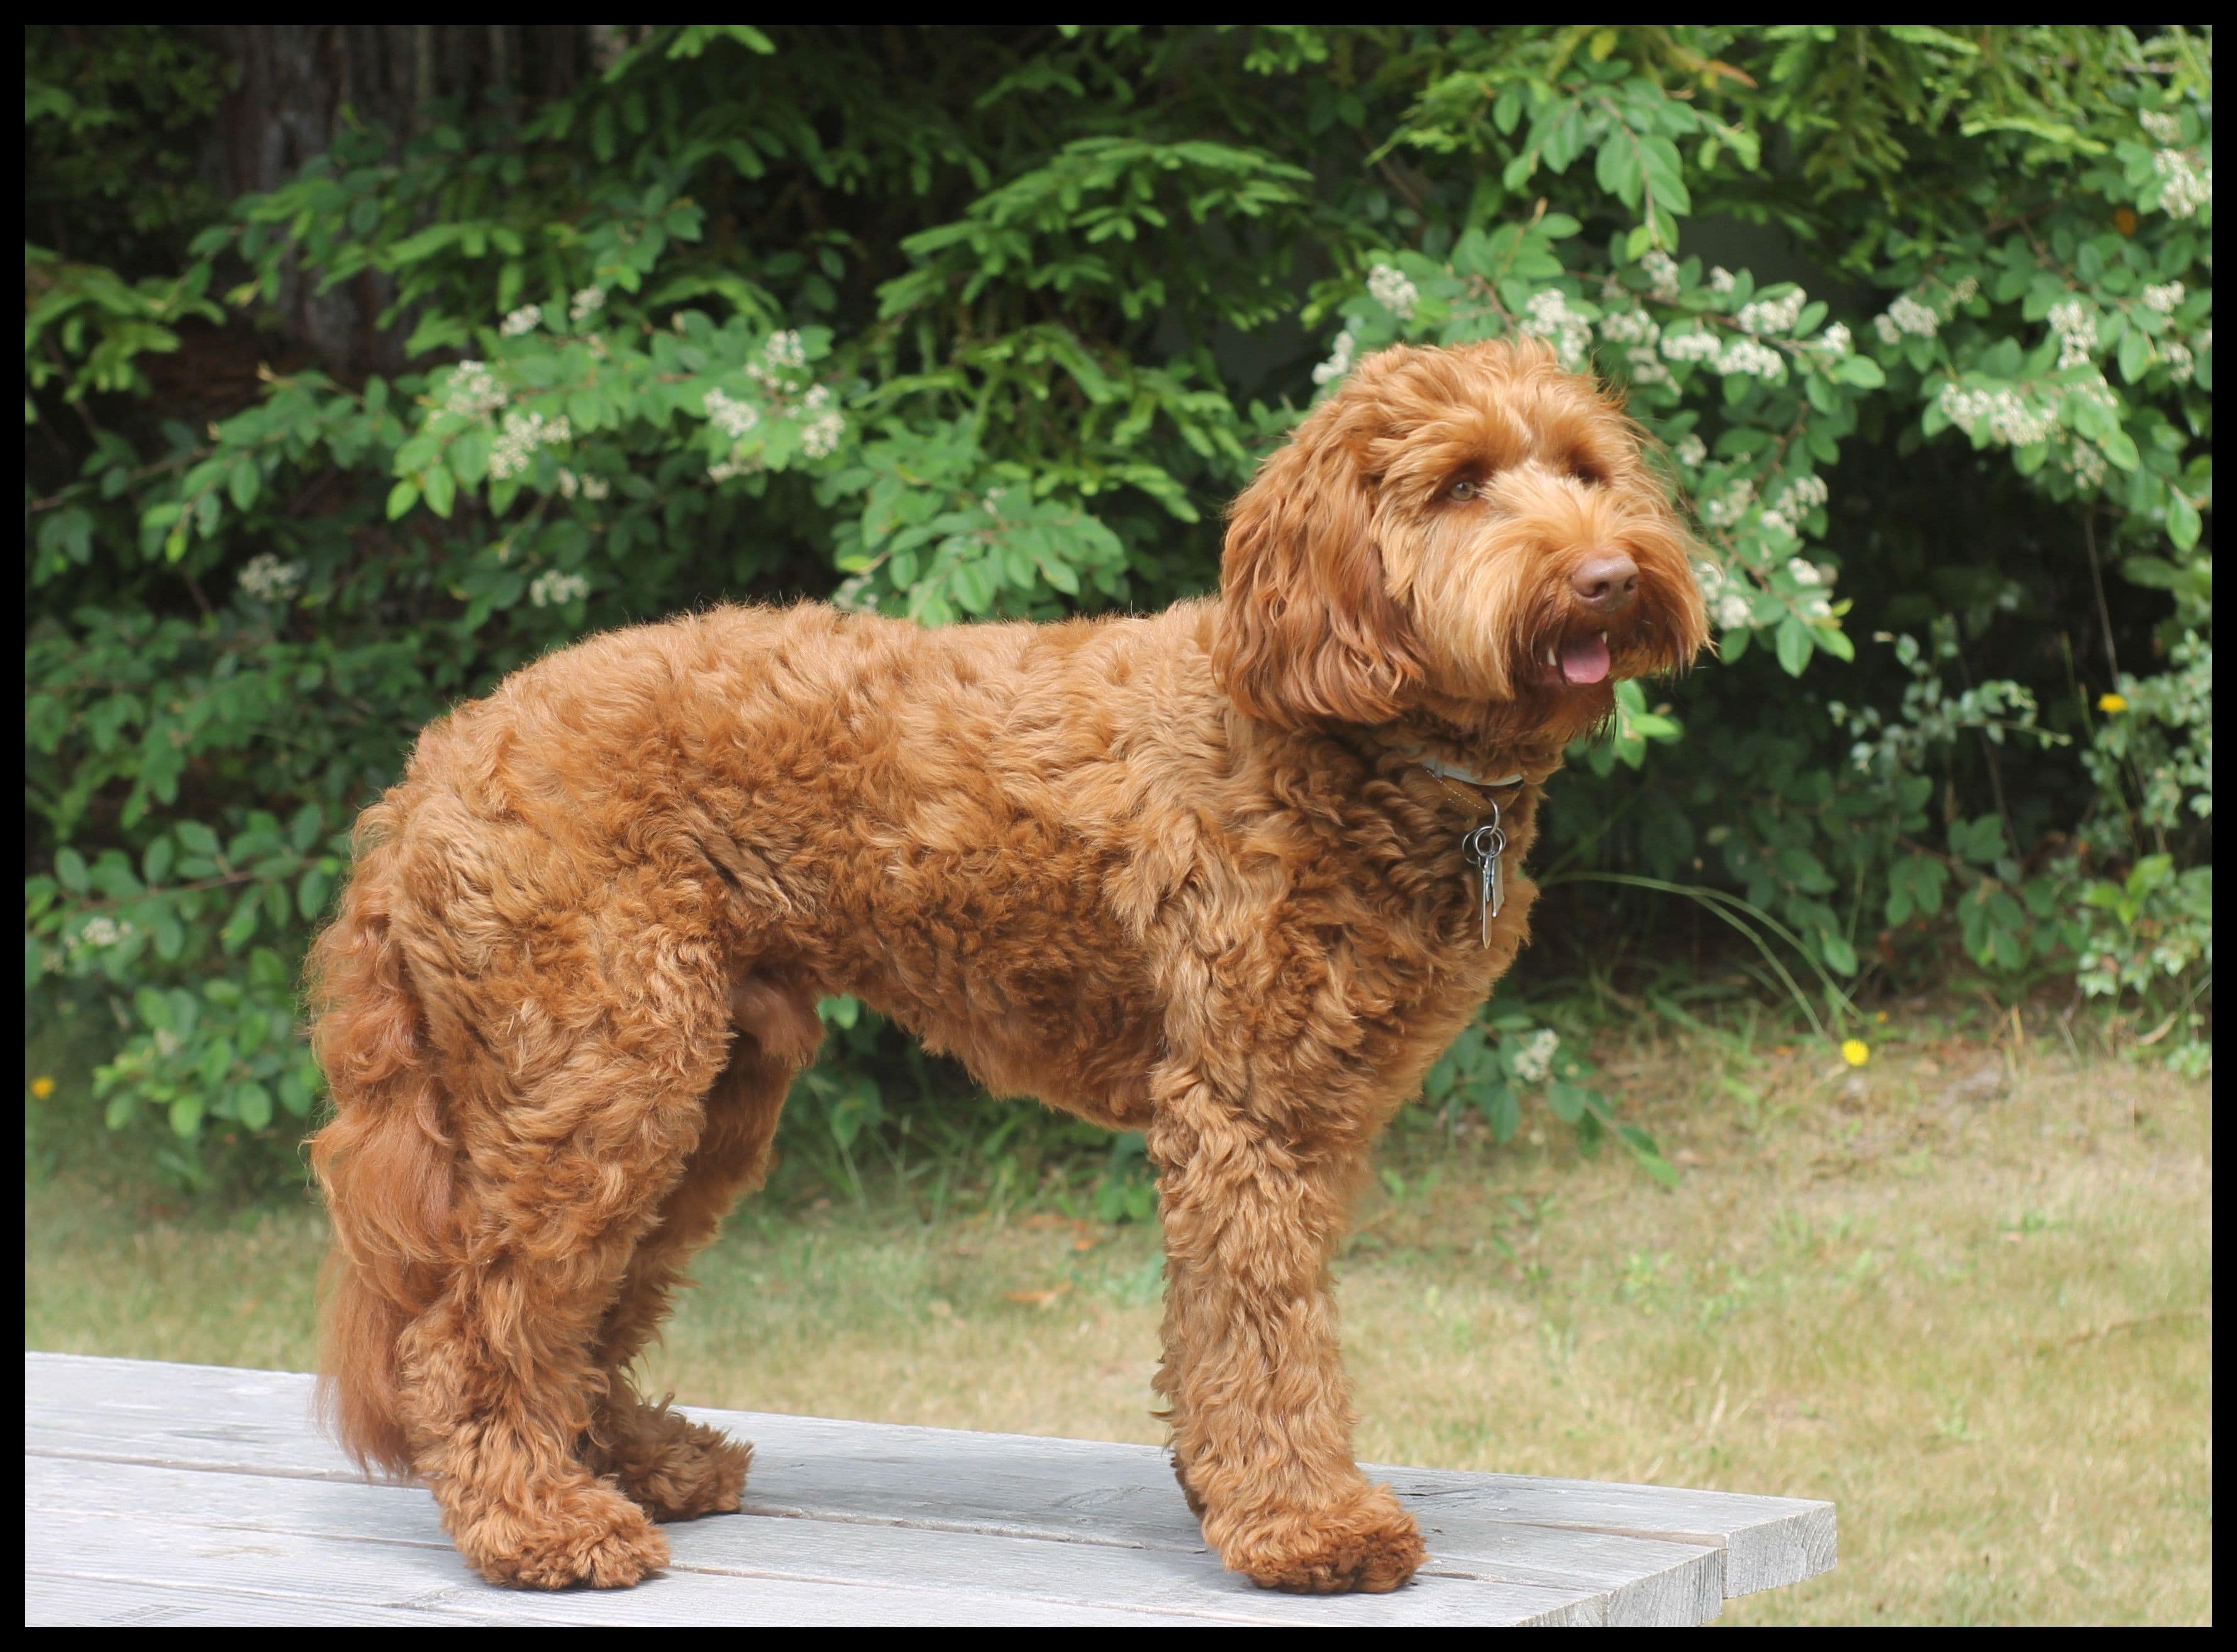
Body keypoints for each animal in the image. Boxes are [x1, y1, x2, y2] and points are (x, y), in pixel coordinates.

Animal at [306, 341, 1700, 1592]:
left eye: (1586, 468)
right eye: (1459, 483)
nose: (1604, 575)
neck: (1332, 736)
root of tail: (432, 765)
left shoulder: (1305, 1115)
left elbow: (1221, 1328)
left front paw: (1223, 1490)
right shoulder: (1243, 1105)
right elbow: (1267, 1329)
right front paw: (1307, 1524)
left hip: (706, 1087)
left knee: (584, 1310)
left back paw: (638, 1460)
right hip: (599, 1073)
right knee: (469, 1328)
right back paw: (539, 1521)